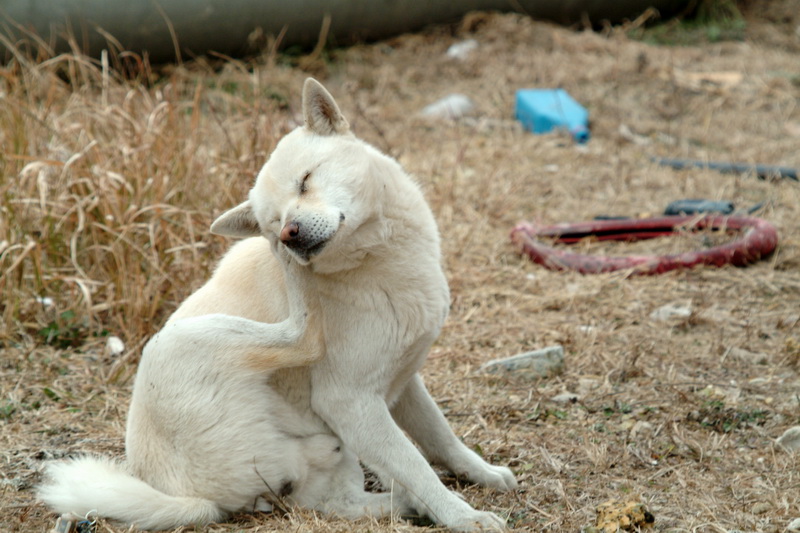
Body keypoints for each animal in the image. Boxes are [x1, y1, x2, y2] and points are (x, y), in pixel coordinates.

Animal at [37, 77, 516, 528]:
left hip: (330, 450)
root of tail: (196, 500)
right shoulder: (350, 401)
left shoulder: (403, 381)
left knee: (342, 502)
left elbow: (440, 437)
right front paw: (462, 516)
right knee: (303, 336)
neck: (377, 261)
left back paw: (408, 506)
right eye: (272, 221)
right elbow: (418, 466)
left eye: (305, 181)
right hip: (181, 343)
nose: (286, 235)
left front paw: (483, 474)